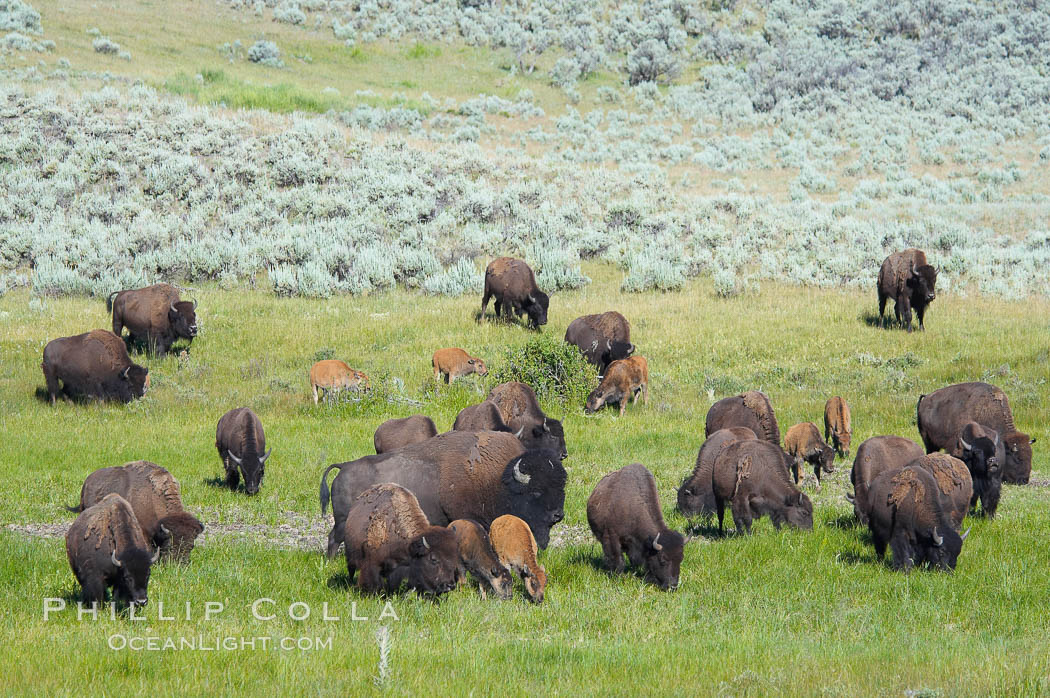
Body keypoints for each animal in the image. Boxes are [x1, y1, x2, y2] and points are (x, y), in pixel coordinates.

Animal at [319, 430, 567, 554]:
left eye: (561, 487)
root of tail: (344, 467)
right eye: (536, 492)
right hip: (343, 521)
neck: (499, 480)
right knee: (334, 539)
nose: (558, 514)